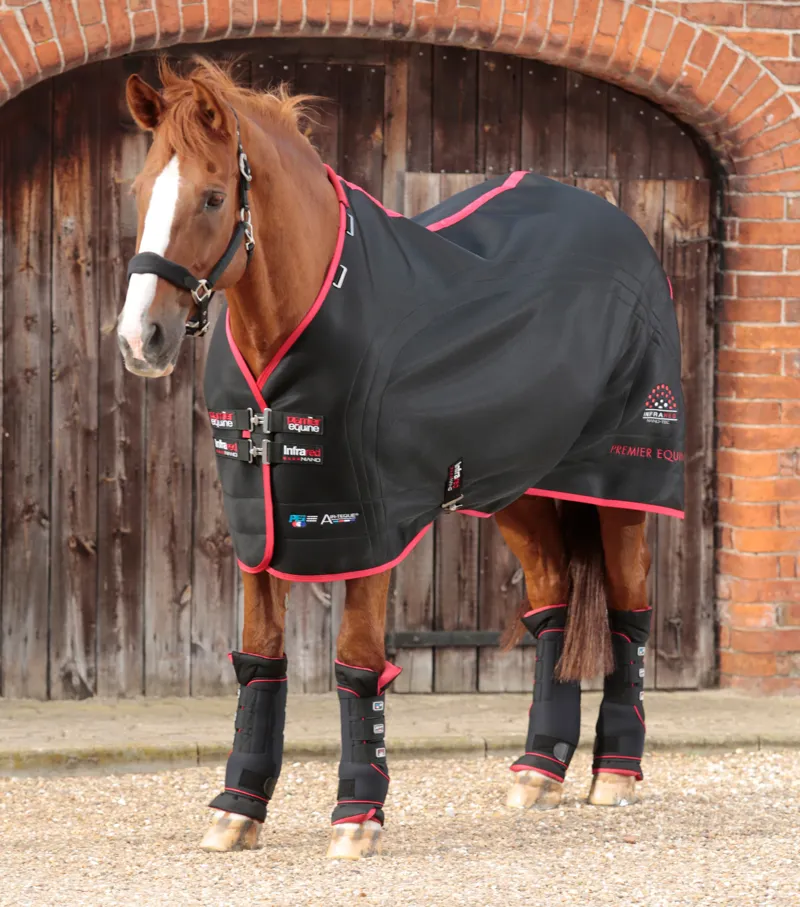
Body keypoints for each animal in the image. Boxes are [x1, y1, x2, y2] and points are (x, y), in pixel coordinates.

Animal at [117, 57, 684, 860]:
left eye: (213, 195)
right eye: (141, 191)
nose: (141, 340)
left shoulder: (368, 527)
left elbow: (358, 661)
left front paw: (358, 814)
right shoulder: (259, 524)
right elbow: (260, 659)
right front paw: (237, 807)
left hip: (626, 483)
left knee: (630, 611)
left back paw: (616, 772)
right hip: (516, 489)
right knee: (552, 604)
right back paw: (537, 770)